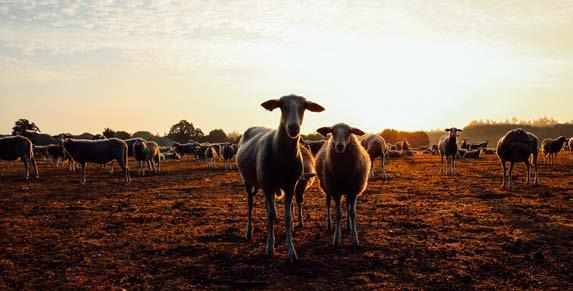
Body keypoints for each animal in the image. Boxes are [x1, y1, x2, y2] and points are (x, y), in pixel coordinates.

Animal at [236, 94, 324, 264]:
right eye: (282, 105)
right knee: (250, 204)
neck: (282, 156)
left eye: (304, 106)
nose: (293, 128)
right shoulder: (268, 185)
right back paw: (248, 232)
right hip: (248, 181)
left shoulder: (290, 186)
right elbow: (270, 215)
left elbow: (287, 216)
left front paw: (291, 251)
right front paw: (270, 248)